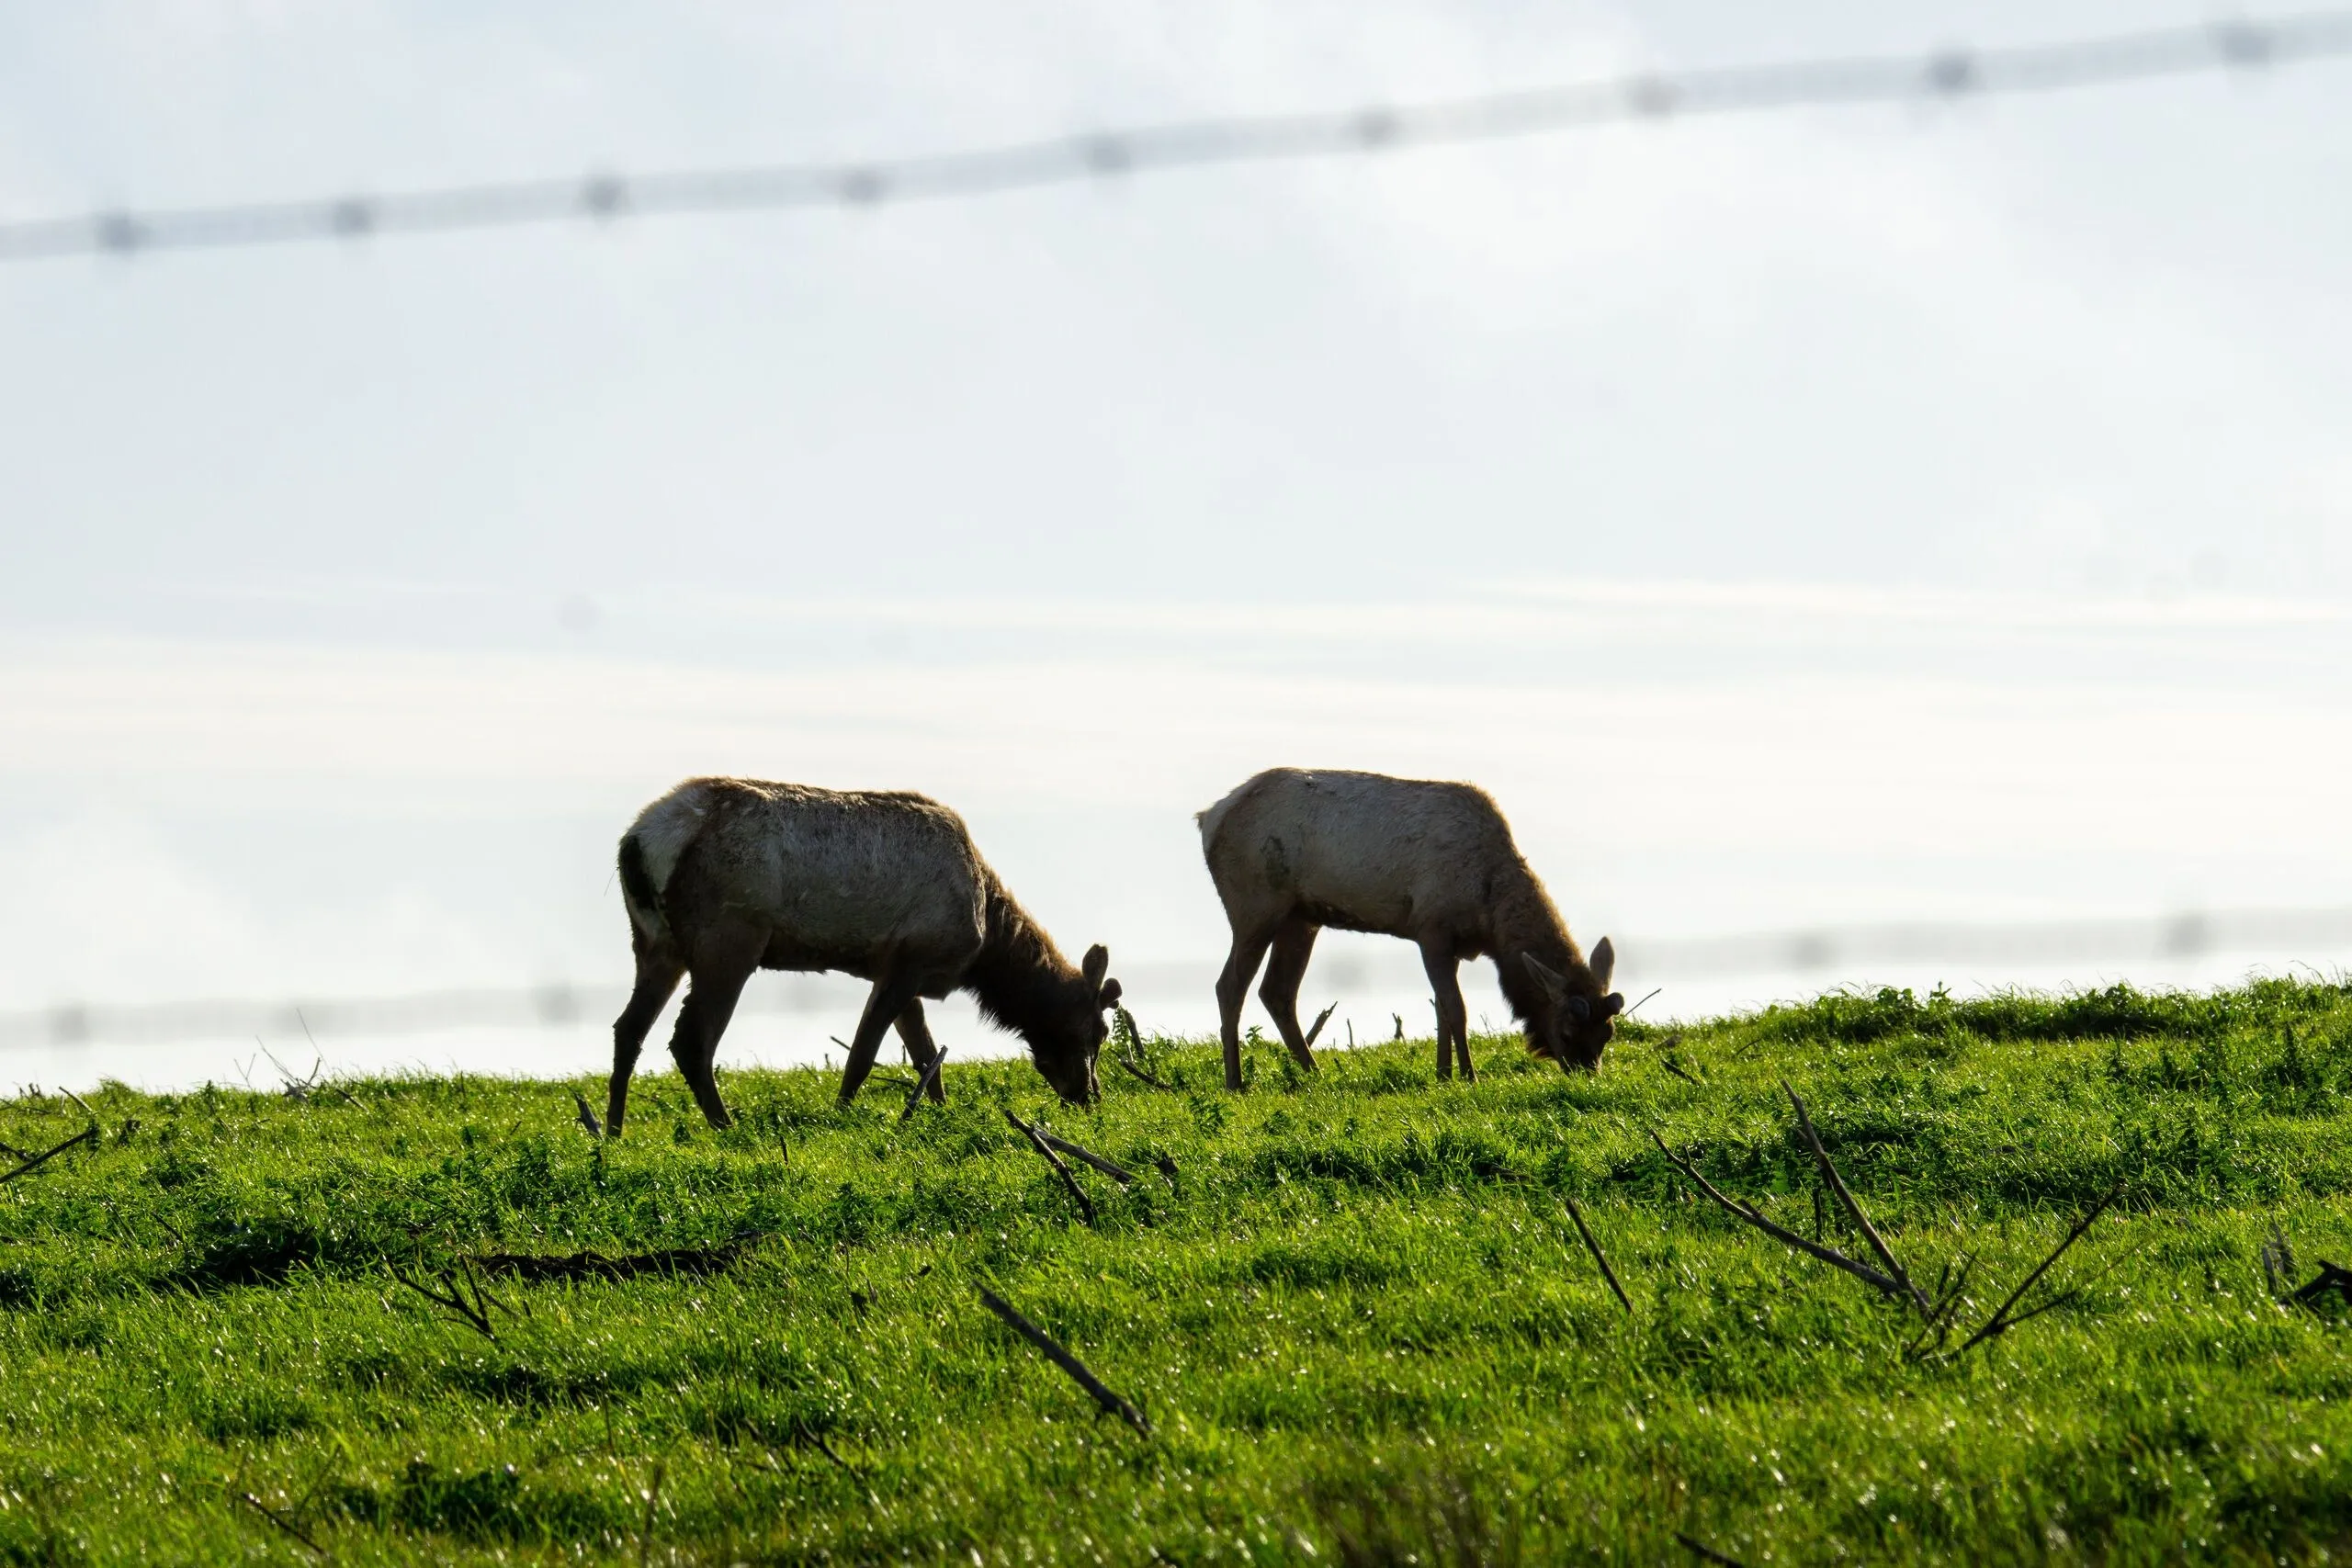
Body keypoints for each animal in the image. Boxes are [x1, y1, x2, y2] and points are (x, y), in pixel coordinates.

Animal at [606, 776, 1121, 1135]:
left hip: (655, 942)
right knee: (691, 1039)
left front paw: (939, 1111)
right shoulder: (909, 959)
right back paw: (725, 1126)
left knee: (628, 1029)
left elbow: (926, 1054)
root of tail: (640, 840)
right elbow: (865, 1052)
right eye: (1096, 1032)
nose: (1089, 1096)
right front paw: (841, 1115)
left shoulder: (896, 971)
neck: (985, 946)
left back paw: (612, 1132)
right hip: (728, 939)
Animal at [1197, 767, 1621, 1090]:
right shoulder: (1431, 929)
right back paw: (1236, 1081)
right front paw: (1468, 1075)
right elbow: (1455, 1008)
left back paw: (1313, 1074)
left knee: (1277, 992)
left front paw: (1444, 1074)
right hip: (1255, 907)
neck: (1490, 914)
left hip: (1301, 918)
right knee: (1229, 986)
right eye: (1567, 1031)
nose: (1588, 1075)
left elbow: (1442, 1011)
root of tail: (1208, 819)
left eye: (1607, 1034)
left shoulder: (1451, 945)